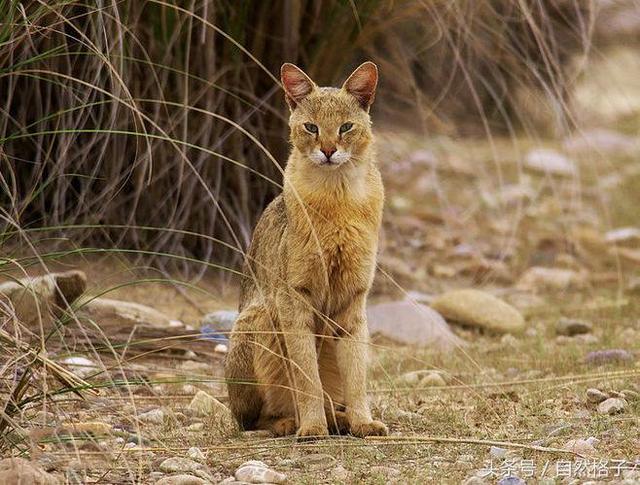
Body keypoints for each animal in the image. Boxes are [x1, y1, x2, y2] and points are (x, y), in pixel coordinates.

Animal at [225, 61, 384, 438]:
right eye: (311, 127)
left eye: (345, 127)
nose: (327, 151)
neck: (338, 201)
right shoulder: (294, 298)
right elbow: (306, 376)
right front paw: (312, 427)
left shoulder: (354, 300)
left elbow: (357, 376)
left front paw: (363, 422)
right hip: (259, 320)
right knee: (253, 419)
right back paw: (292, 422)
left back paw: (338, 418)